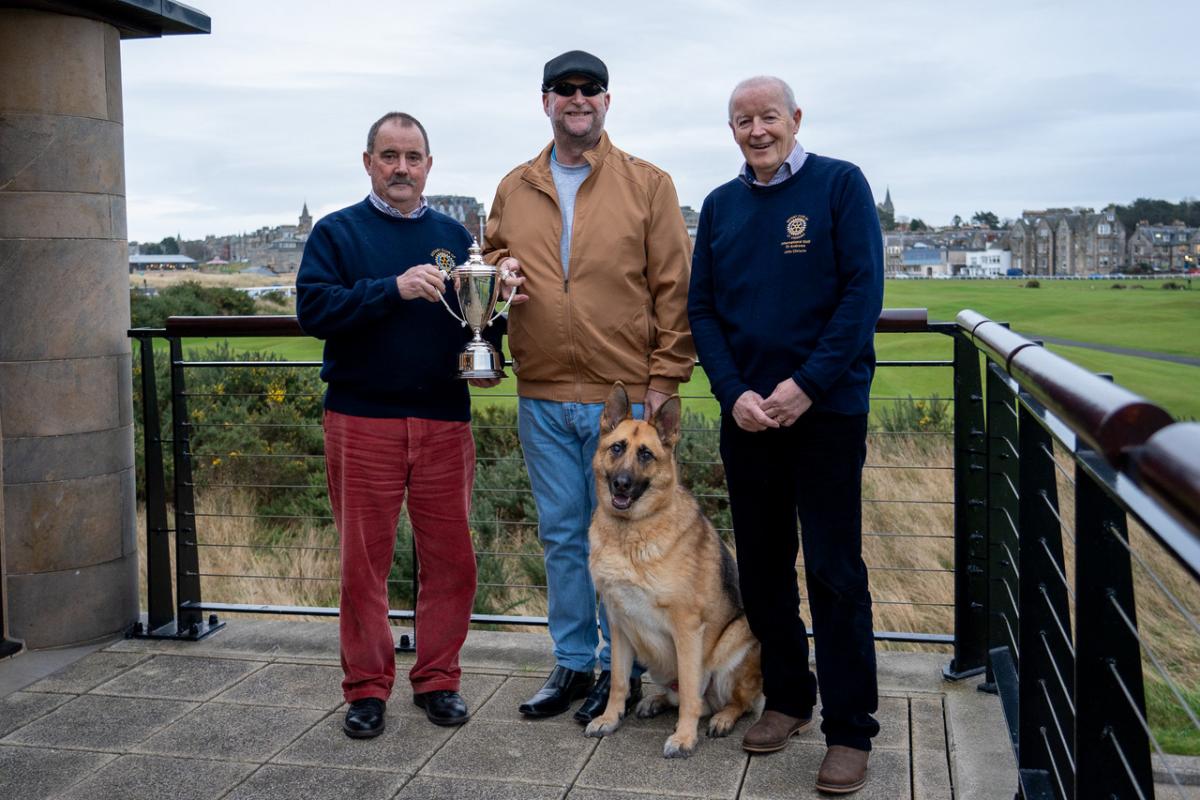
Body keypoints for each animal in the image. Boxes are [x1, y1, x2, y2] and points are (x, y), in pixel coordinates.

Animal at [580, 381, 758, 758]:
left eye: (646, 455)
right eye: (617, 448)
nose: (620, 484)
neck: (630, 532)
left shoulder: (687, 628)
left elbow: (691, 692)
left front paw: (684, 737)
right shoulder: (618, 624)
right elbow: (618, 681)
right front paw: (610, 718)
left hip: (735, 643)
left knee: (733, 701)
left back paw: (723, 718)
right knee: (687, 697)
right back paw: (657, 701)